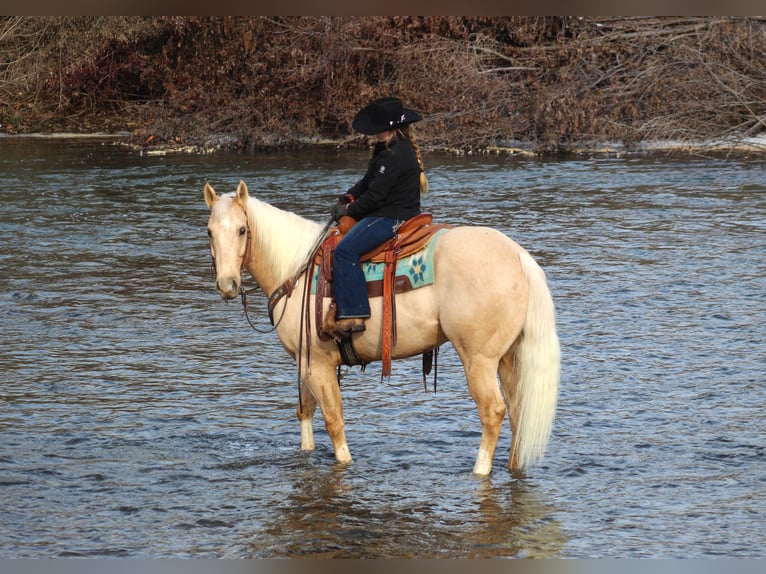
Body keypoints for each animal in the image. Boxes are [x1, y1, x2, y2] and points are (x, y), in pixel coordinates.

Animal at [206, 181, 564, 476]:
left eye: (242, 229)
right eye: (209, 231)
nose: (227, 285)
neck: (296, 268)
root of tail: (519, 257)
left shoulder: (319, 365)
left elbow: (334, 421)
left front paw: (346, 463)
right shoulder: (305, 362)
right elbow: (305, 412)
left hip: (479, 360)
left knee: (493, 411)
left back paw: (479, 471)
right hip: (507, 358)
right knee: (517, 410)